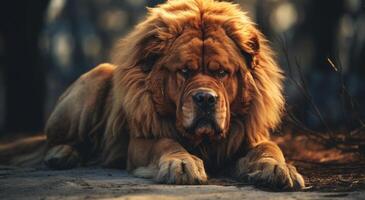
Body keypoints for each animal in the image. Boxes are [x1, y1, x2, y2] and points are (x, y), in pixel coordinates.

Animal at [0, 0, 304, 191]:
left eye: (221, 73)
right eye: (184, 71)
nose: (205, 99)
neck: (203, 140)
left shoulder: (248, 137)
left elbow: (270, 149)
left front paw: (279, 170)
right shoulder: (142, 141)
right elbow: (166, 143)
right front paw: (182, 164)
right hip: (96, 77)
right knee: (55, 141)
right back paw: (61, 155)